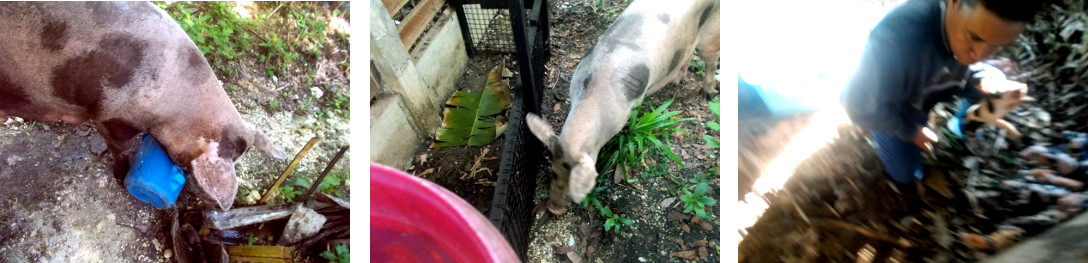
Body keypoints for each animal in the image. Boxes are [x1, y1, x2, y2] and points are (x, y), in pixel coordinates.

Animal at [524, 0, 718, 215]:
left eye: (576, 183)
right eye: (554, 172)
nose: (553, 208)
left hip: (712, 32)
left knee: (711, 61)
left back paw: (709, 94)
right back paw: (678, 81)